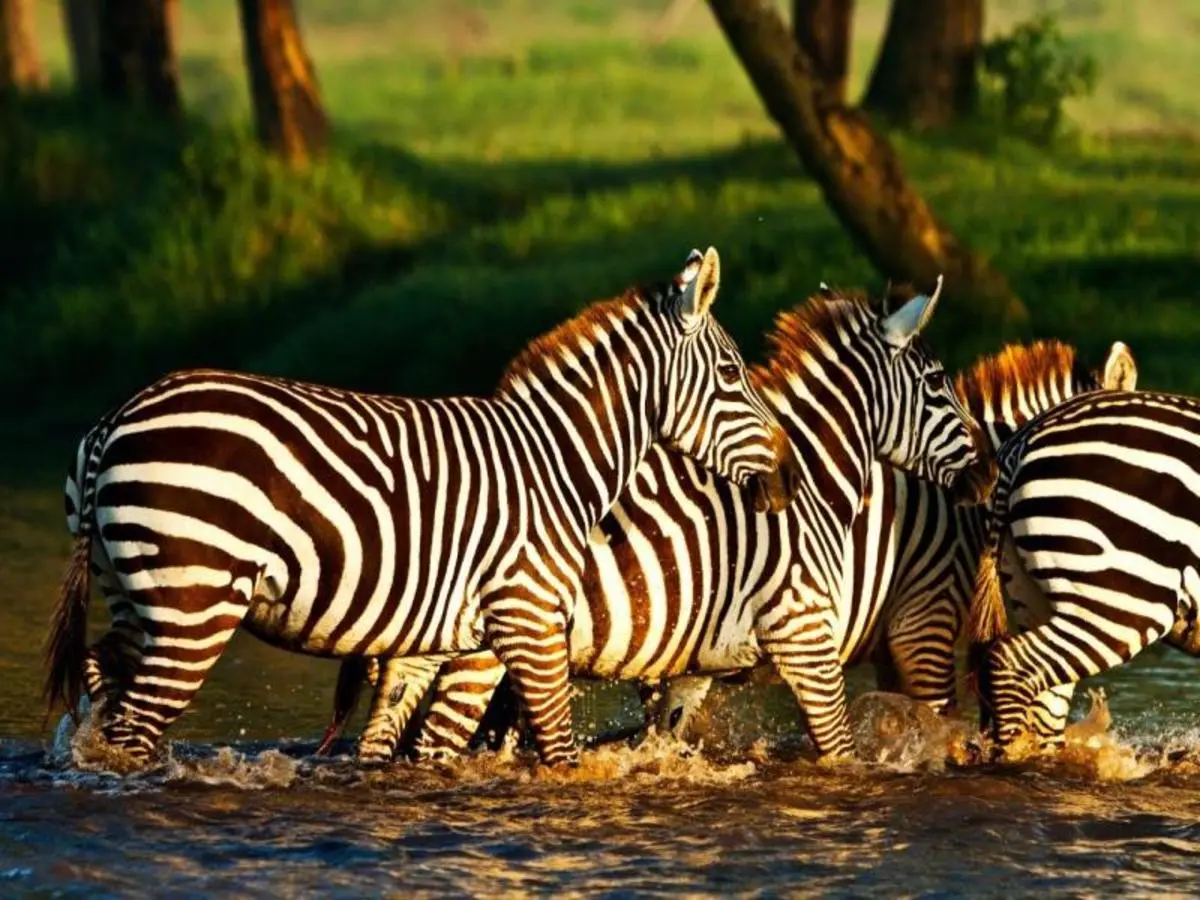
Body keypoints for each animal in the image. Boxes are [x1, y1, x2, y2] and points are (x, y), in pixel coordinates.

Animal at [43, 246, 801, 769]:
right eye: (733, 374)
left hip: (134, 595)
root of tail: (117, 416)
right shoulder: (528, 616)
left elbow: (411, 744)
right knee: (133, 731)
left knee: (102, 690)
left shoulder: (445, 636)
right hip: (194, 605)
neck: (557, 461)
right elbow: (557, 749)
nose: (787, 477)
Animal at [318, 276, 996, 763]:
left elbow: (665, 735)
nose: (989, 473)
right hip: (485, 647)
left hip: (426, 638)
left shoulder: (699, 663)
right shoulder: (812, 635)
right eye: (939, 382)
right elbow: (842, 749)